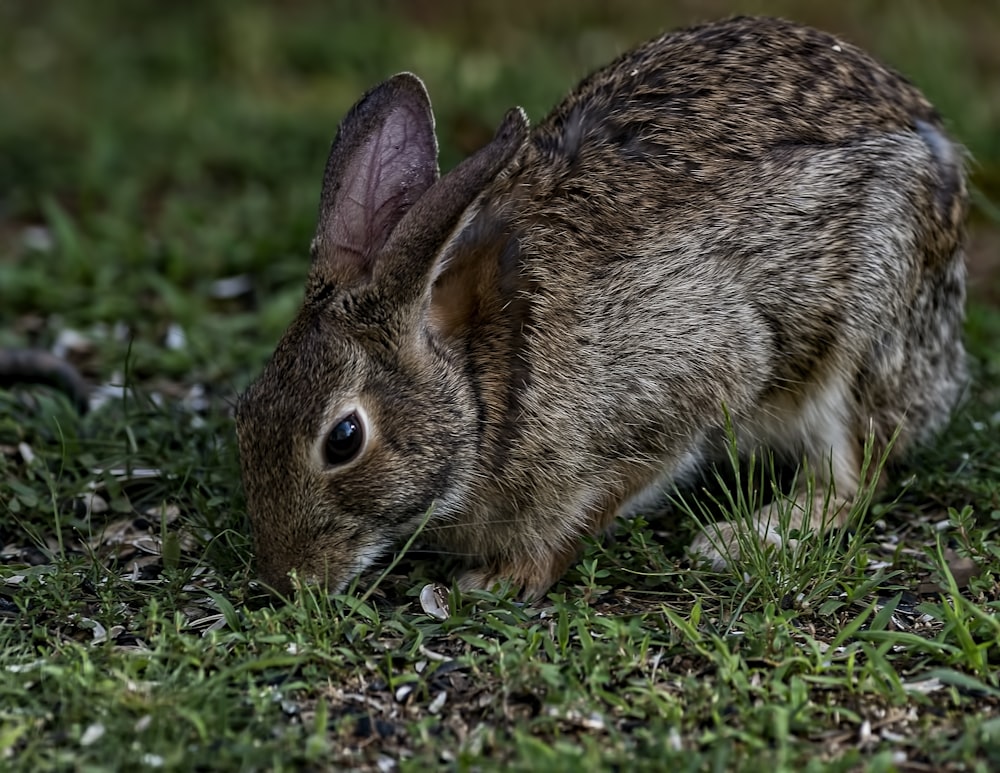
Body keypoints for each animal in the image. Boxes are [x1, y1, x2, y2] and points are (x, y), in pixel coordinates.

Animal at [236, 16, 968, 596]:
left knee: (855, 473)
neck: (486, 379)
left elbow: (604, 496)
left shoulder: (690, 378)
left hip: (861, 333)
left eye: (344, 439)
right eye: (246, 410)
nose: (284, 580)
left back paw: (741, 536)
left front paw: (507, 576)